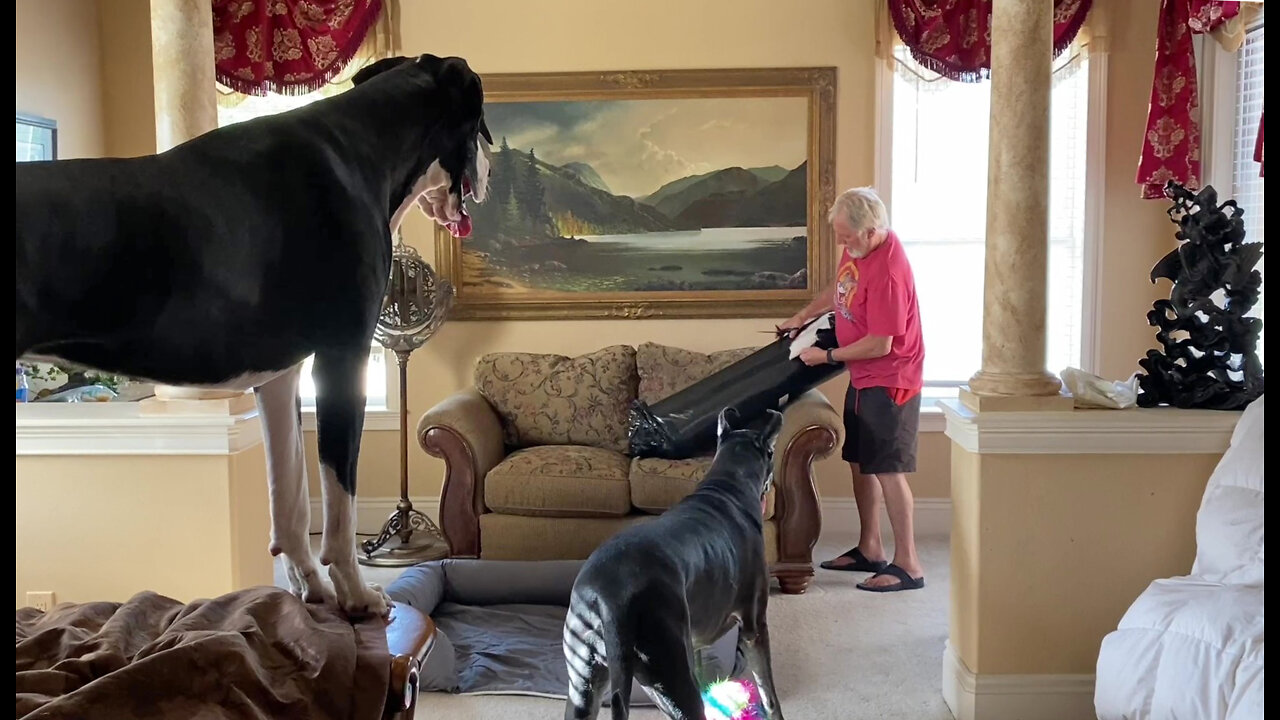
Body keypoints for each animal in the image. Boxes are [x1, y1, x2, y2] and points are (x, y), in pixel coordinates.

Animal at [17, 53, 491, 614]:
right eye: (481, 124)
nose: (492, 169)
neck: (364, 146)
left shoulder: (281, 377)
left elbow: (291, 499)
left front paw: (312, 586)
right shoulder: (344, 355)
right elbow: (340, 501)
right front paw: (356, 594)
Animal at [563, 407, 783, 712]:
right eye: (772, 455)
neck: (728, 485)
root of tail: (609, 599)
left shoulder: (697, 637)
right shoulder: (754, 627)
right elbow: (769, 694)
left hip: (584, 681)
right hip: (670, 671)